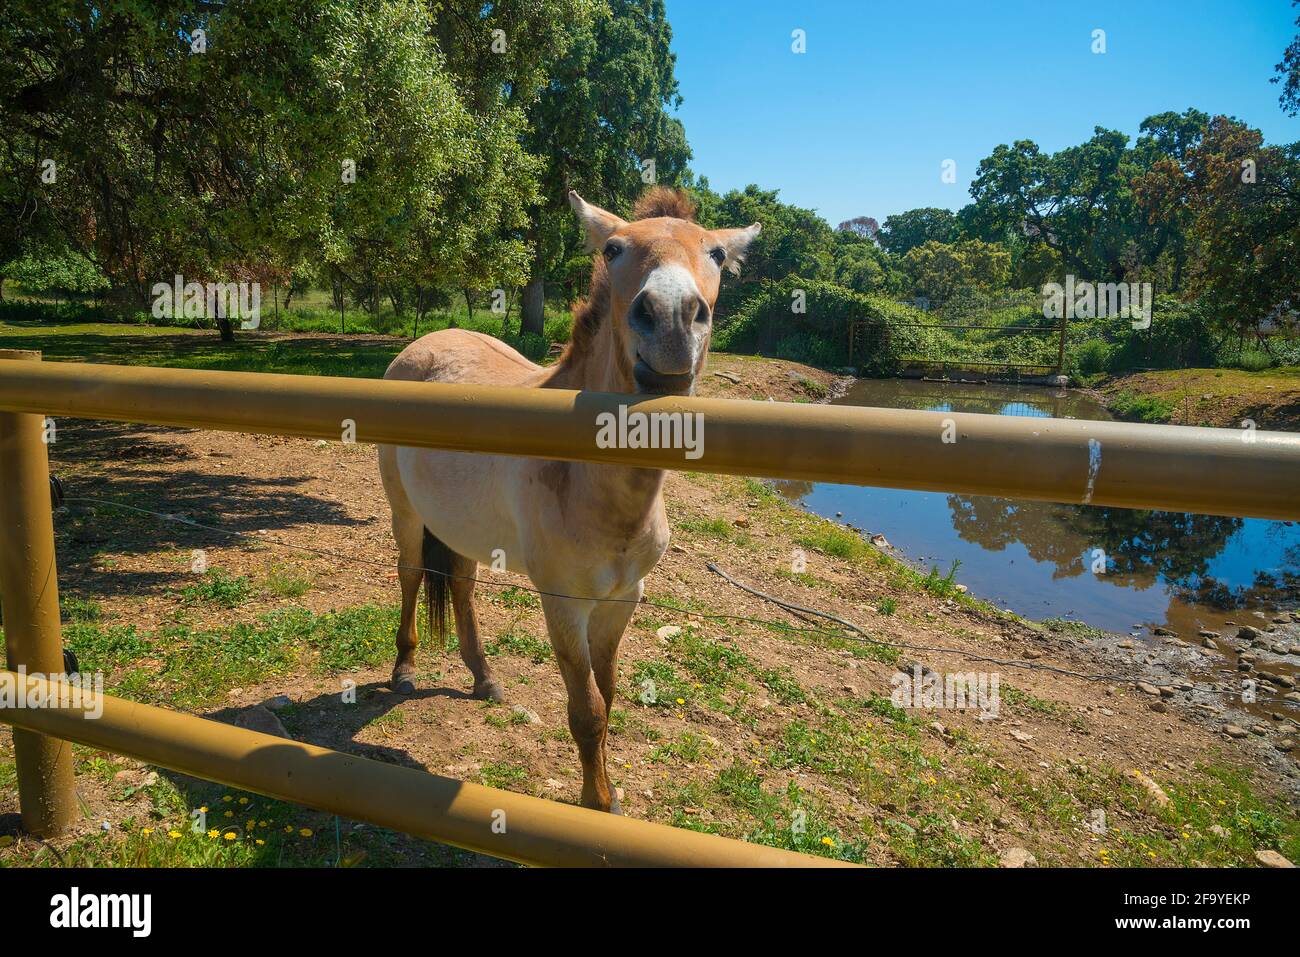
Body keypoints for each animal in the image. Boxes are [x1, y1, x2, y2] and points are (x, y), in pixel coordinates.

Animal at [379, 184, 759, 806]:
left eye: (717, 255)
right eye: (612, 249)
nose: (671, 318)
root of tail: (426, 342)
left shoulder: (622, 600)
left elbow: (609, 693)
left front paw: (610, 790)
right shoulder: (563, 604)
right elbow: (587, 712)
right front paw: (596, 803)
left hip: (459, 525)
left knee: (460, 584)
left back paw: (484, 676)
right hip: (406, 512)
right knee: (412, 574)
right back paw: (405, 668)